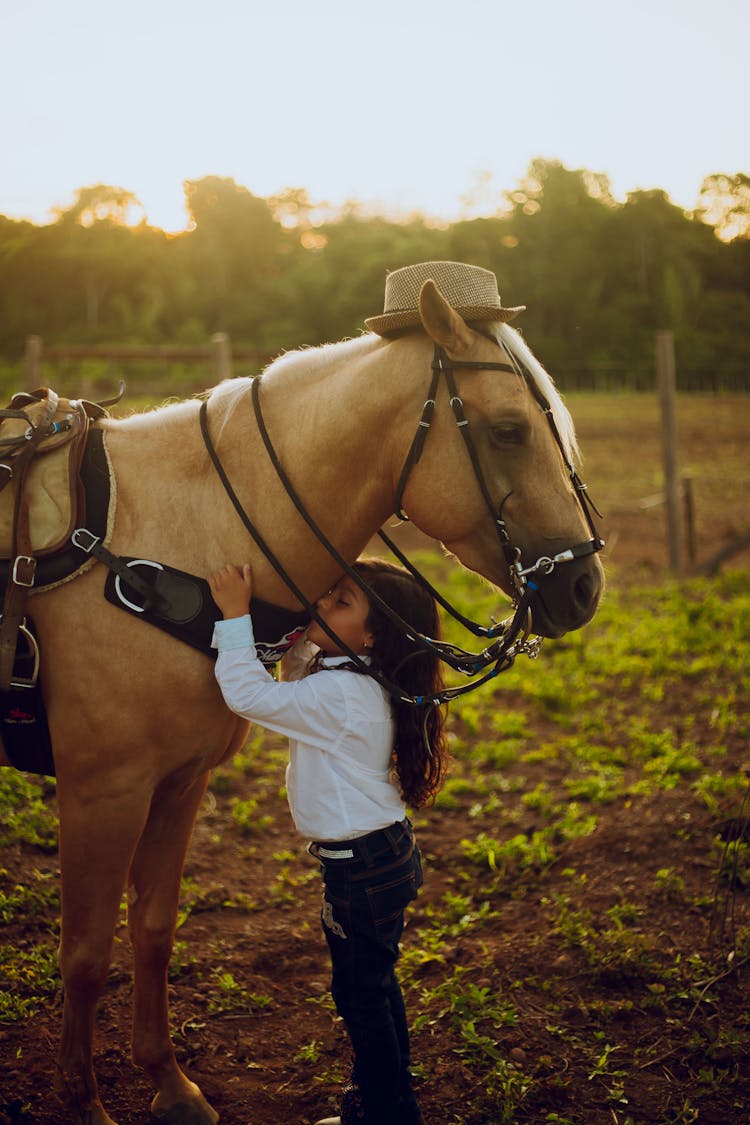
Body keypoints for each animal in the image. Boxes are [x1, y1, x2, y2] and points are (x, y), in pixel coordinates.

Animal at [0, 274, 602, 1125]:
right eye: (511, 429)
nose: (584, 584)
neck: (171, 540)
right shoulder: (101, 791)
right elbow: (85, 954)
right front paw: (85, 1105)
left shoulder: (178, 781)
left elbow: (151, 928)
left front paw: (169, 1083)